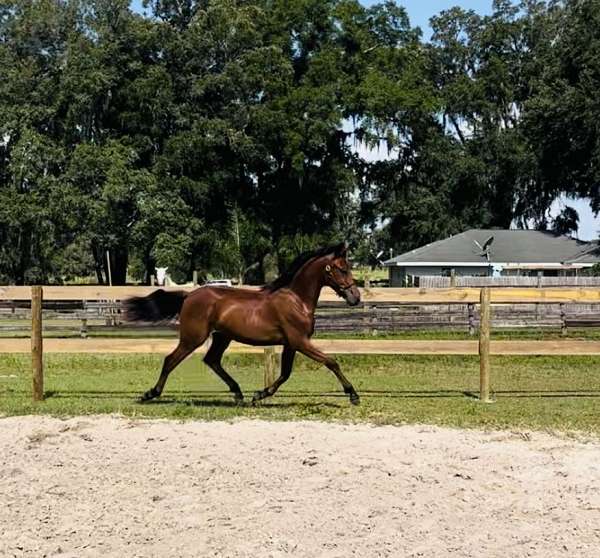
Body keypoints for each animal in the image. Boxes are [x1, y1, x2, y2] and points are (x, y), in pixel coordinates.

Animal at [123, 245, 360, 406]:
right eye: (342, 269)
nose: (355, 297)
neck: (297, 301)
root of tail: (189, 296)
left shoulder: (291, 344)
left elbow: (285, 373)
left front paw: (259, 395)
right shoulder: (300, 341)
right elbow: (331, 362)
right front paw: (353, 395)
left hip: (221, 337)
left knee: (211, 360)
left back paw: (238, 393)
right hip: (193, 338)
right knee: (171, 360)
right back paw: (150, 393)